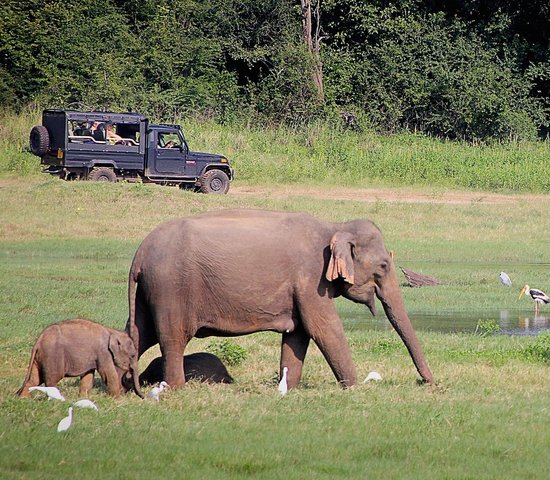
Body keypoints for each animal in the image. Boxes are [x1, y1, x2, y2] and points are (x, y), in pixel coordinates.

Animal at [126, 210, 436, 390]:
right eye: (383, 265)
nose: (427, 382)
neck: (334, 226)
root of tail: (139, 254)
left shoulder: (301, 288)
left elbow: (298, 334)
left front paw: (289, 388)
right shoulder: (311, 279)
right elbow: (323, 328)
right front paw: (354, 387)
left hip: (149, 292)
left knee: (138, 334)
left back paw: (126, 387)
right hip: (171, 289)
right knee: (172, 338)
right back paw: (175, 388)